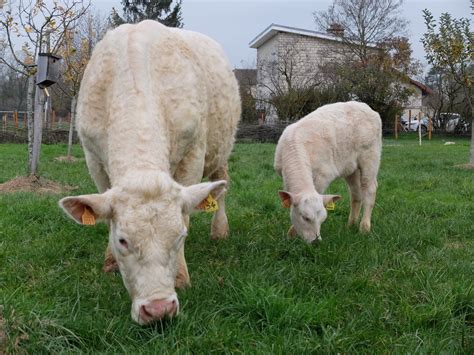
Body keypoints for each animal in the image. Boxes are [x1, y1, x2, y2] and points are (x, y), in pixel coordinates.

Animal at [58, 20, 241, 326]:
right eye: (122, 240)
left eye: (179, 237)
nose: (158, 309)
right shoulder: (93, 157)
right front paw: (110, 260)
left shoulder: (193, 153)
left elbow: (187, 214)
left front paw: (180, 275)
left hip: (221, 147)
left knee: (221, 189)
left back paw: (220, 230)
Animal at [274, 101, 382, 243]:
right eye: (305, 218)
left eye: (323, 219)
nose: (316, 242)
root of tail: (365, 106)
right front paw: (290, 236)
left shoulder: (323, 174)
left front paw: (292, 233)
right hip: (350, 167)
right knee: (356, 193)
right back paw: (351, 225)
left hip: (371, 155)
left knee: (369, 188)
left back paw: (364, 228)